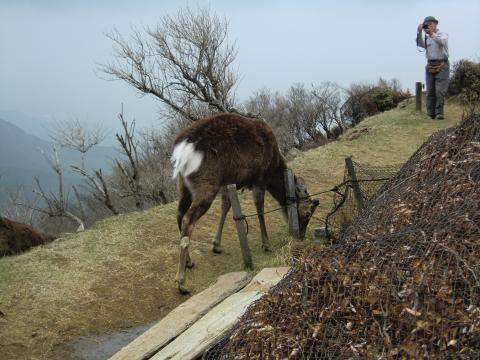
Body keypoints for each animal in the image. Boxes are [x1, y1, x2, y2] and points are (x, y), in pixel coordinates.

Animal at [172, 114, 318, 294]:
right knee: (188, 219)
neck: (274, 168)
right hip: (206, 184)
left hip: (183, 186)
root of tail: (181, 150)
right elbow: (260, 208)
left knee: (179, 214)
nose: (302, 236)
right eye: (307, 214)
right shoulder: (259, 178)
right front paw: (267, 244)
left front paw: (216, 245)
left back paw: (189, 262)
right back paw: (181, 282)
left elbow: (226, 206)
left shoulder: (228, 181)